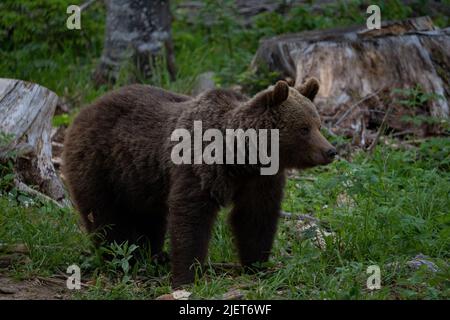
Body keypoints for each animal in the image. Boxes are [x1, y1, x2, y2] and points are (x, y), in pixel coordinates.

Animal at [63, 78, 338, 288]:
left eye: (318, 124)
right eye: (304, 128)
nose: (330, 151)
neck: (241, 157)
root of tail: (85, 109)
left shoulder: (260, 180)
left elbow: (255, 218)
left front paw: (258, 266)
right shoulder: (199, 170)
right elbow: (191, 218)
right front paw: (187, 276)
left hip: (141, 179)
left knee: (149, 217)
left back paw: (151, 255)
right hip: (100, 165)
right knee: (105, 217)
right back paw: (121, 257)